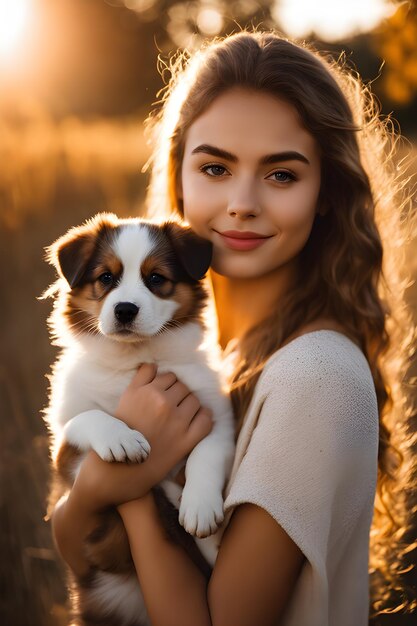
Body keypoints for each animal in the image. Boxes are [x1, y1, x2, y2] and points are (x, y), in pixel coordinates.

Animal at [44, 212, 234, 620]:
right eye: (106, 277)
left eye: (156, 278)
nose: (125, 310)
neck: (134, 360)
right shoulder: (64, 447)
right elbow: (89, 418)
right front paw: (122, 438)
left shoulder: (217, 416)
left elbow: (206, 453)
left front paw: (199, 506)